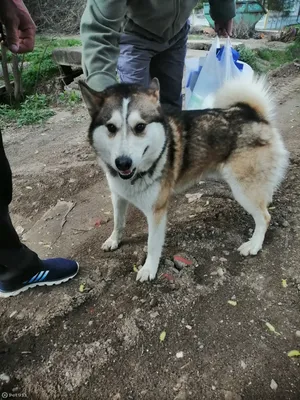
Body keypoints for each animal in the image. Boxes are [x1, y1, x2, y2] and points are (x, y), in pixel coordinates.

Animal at [78, 75, 290, 282]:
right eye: (111, 127)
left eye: (140, 127)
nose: (123, 163)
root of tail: (252, 113)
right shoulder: (118, 195)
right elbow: (118, 221)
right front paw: (114, 240)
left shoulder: (156, 211)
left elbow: (152, 244)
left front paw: (149, 269)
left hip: (242, 190)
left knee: (265, 217)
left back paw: (254, 244)